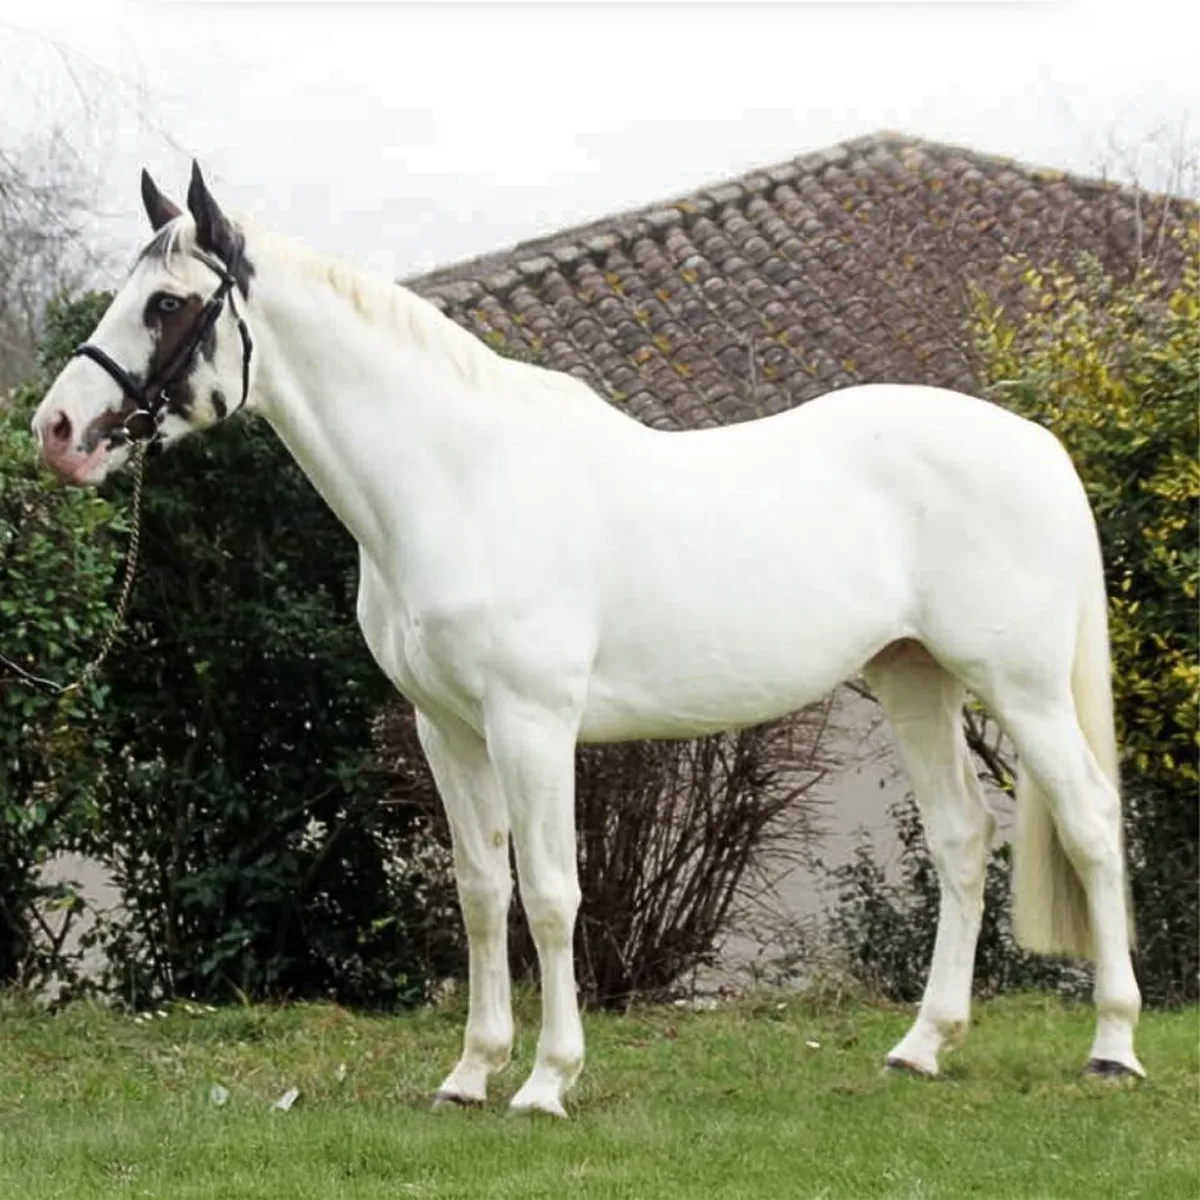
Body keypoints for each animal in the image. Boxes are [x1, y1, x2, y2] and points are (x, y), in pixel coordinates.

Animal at [30, 163, 1144, 1117]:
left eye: (166, 304)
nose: (56, 431)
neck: (459, 480)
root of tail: (1037, 445)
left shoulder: (532, 725)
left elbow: (554, 896)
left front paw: (546, 1082)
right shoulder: (448, 731)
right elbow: (483, 894)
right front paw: (469, 1075)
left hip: (1020, 687)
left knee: (1090, 821)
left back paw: (1113, 1048)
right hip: (915, 679)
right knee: (961, 837)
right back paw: (922, 1046)